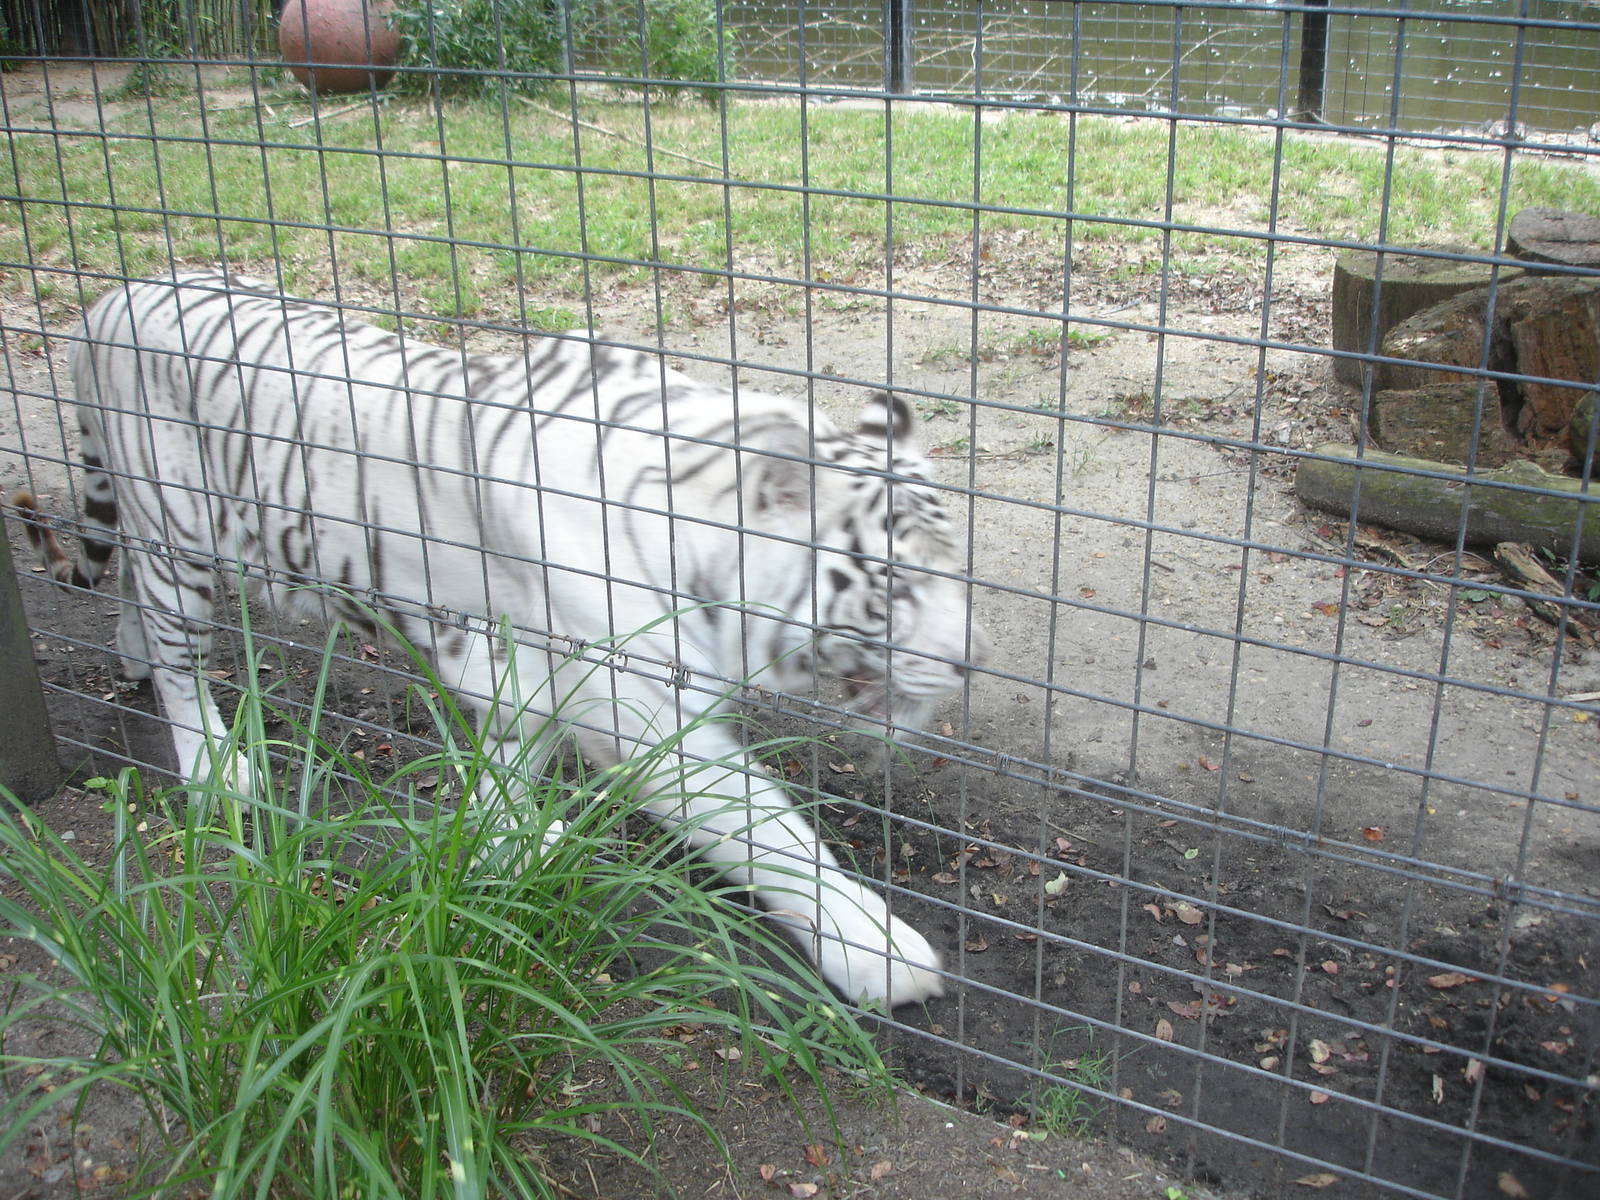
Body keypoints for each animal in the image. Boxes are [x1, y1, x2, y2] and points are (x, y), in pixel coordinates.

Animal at [14, 269, 989, 1008]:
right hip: (180, 532)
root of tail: (109, 300)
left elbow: (514, 759)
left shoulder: (539, 670)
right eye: (895, 580)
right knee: (179, 657)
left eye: (956, 562)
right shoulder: (643, 710)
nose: (970, 659)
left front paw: (504, 844)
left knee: (136, 598)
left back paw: (130, 652)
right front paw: (880, 954)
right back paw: (218, 766)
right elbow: (769, 832)